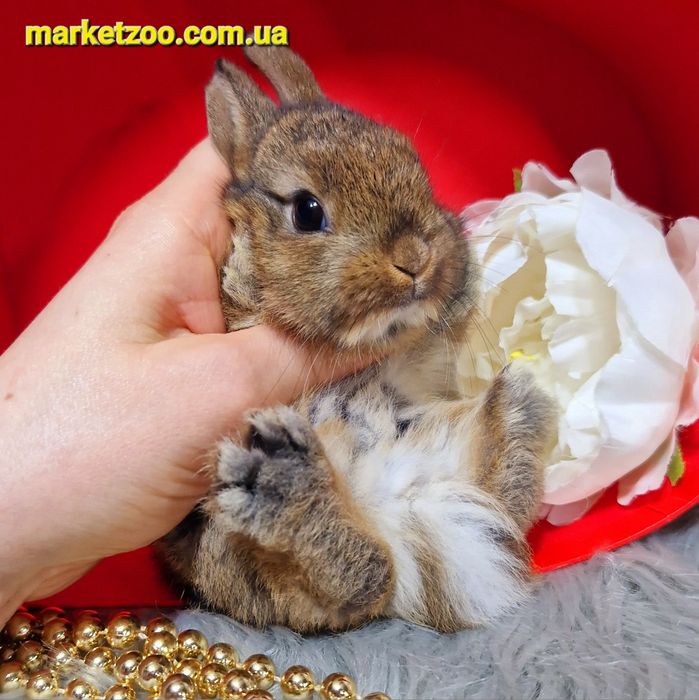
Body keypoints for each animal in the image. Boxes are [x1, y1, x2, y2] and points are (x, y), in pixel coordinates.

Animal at [158, 45, 555, 633]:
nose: (416, 258)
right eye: (306, 210)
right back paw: (286, 485)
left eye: (413, 163)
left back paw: (519, 402)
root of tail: (392, 508)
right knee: (356, 582)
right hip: (226, 548)